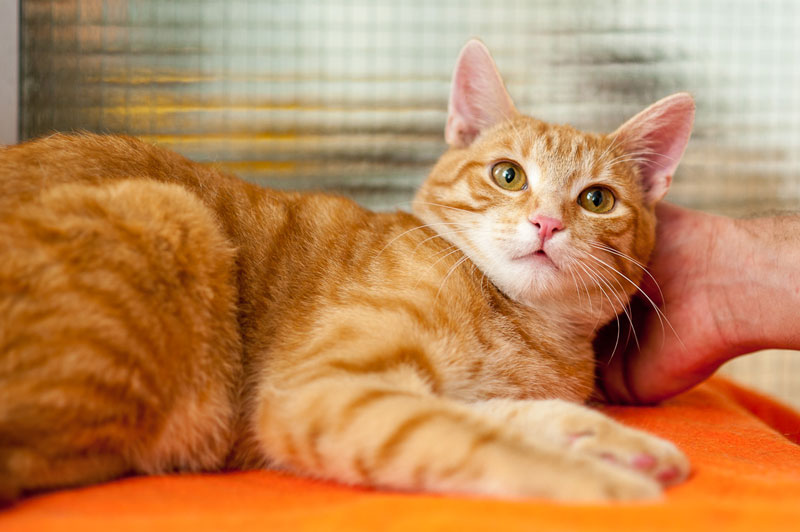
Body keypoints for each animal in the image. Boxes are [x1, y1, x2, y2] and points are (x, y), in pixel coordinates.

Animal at [0, 39, 694, 502]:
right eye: (508, 175)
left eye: (596, 200)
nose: (548, 223)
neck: (525, 328)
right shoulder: (322, 391)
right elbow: (483, 442)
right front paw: (607, 485)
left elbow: (509, 416)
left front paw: (612, 442)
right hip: (170, 213)